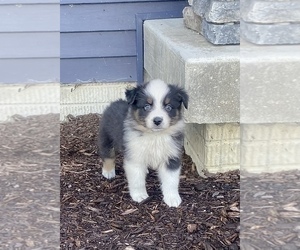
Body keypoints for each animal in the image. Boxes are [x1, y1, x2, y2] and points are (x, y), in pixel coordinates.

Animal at [98, 78, 188, 207]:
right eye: (146, 107)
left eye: (168, 107)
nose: (157, 120)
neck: (155, 136)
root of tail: (114, 102)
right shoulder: (135, 157)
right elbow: (137, 180)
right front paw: (140, 196)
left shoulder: (172, 156)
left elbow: (171, 180)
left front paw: (172, 198)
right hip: (106, 137)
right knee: (107, 154)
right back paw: (108, 171)